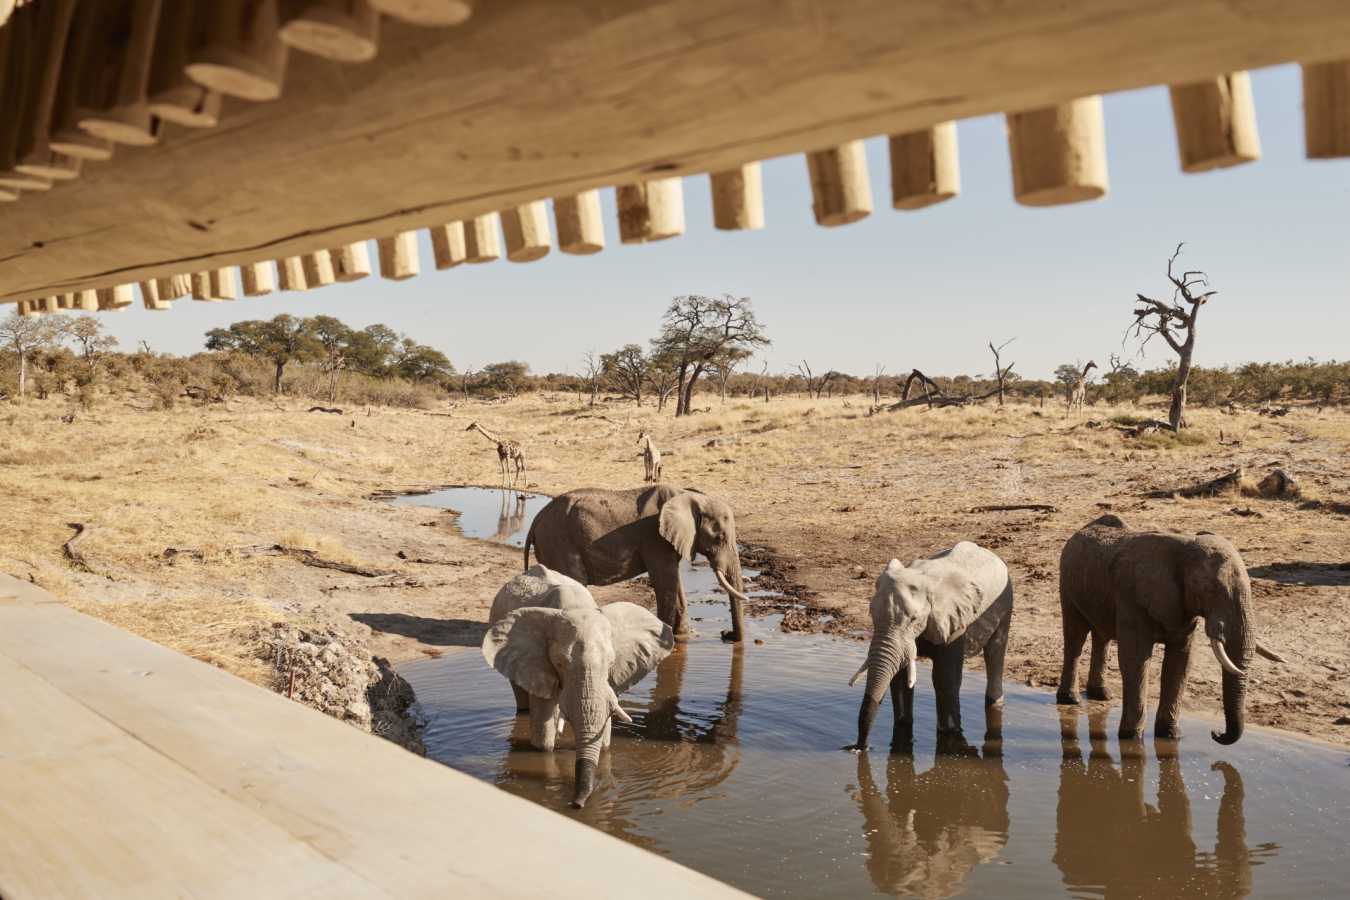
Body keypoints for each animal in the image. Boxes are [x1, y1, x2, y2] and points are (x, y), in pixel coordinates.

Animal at [483, 565, 675, 808]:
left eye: (611, 662)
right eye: (559, 663)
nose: (576, 804)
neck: (575, 608)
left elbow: (604, 738)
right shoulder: (537, 662)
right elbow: (543, 738)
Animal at [523, 484, 751, 642]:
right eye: (720, 538)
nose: (726, 634)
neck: (688, 495)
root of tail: (535, 521)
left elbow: (675, 583)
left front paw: (683, 636)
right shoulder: (655, 538)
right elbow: (665, 582)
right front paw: (667, 638)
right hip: (558, 542)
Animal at [847, 542, 1013, 750]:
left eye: (914, 619)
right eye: (871, 614)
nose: (860, 747)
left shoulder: (954, 623)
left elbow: (945, 678)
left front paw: (949, 733)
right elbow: (900, 677)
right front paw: (903, 724)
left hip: (1006, 601)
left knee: (995, 651)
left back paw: (994, 703)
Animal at [1057, 515, 1285, 744]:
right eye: (1211, 590)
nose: (1216, 733)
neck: (1184, 547)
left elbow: (1181, 661)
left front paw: (1170, 735)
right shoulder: (1132, 598)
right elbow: (1135, 659)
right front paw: (1132, 738)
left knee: (1101, 636)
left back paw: (1101, 694)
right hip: (1067, 585)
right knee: (1075, 637)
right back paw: (1071, 700)